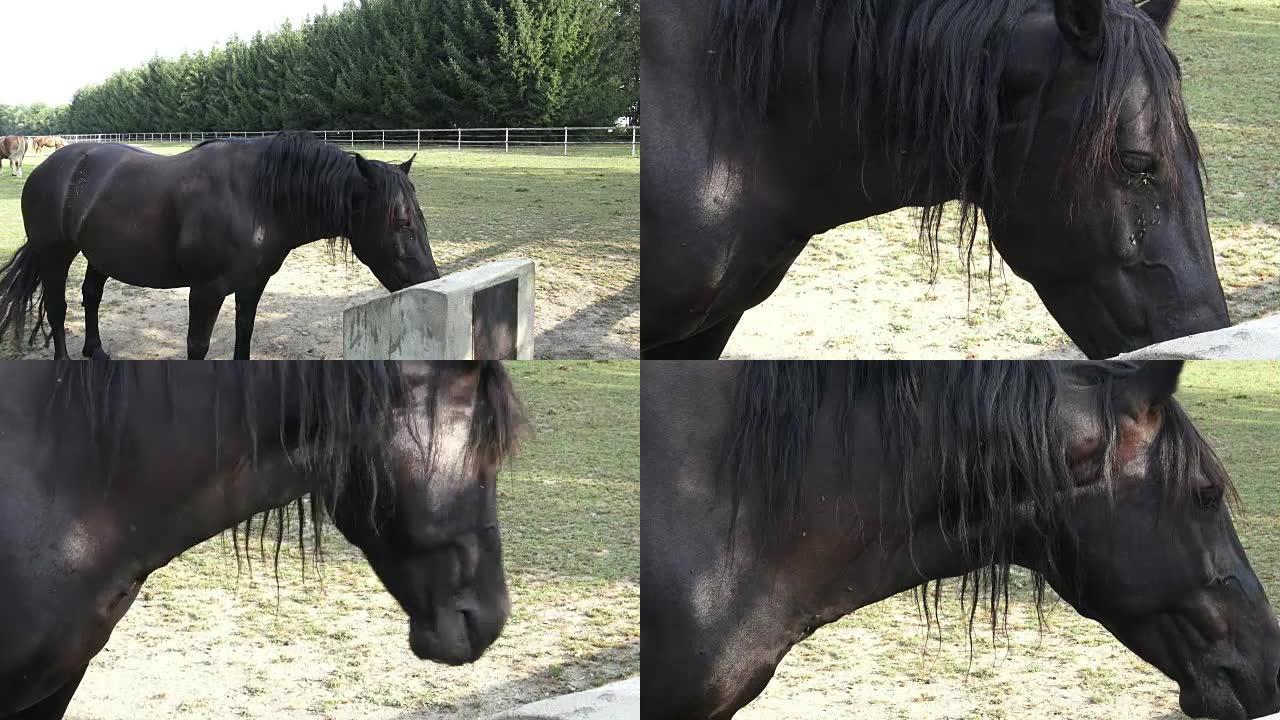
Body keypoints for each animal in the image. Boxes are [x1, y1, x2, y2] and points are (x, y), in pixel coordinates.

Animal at [0, 129, 440, 358]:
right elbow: (198, 346)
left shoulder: (252, 287)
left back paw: (97, 352)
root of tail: (52, 165)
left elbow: (244, 335)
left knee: (91, 296)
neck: (256, 200)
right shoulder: (206, 291)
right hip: (55, 255)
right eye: (401, 221)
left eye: (419, 217)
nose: (429, 280)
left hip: (101, 255)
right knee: (58, 308)